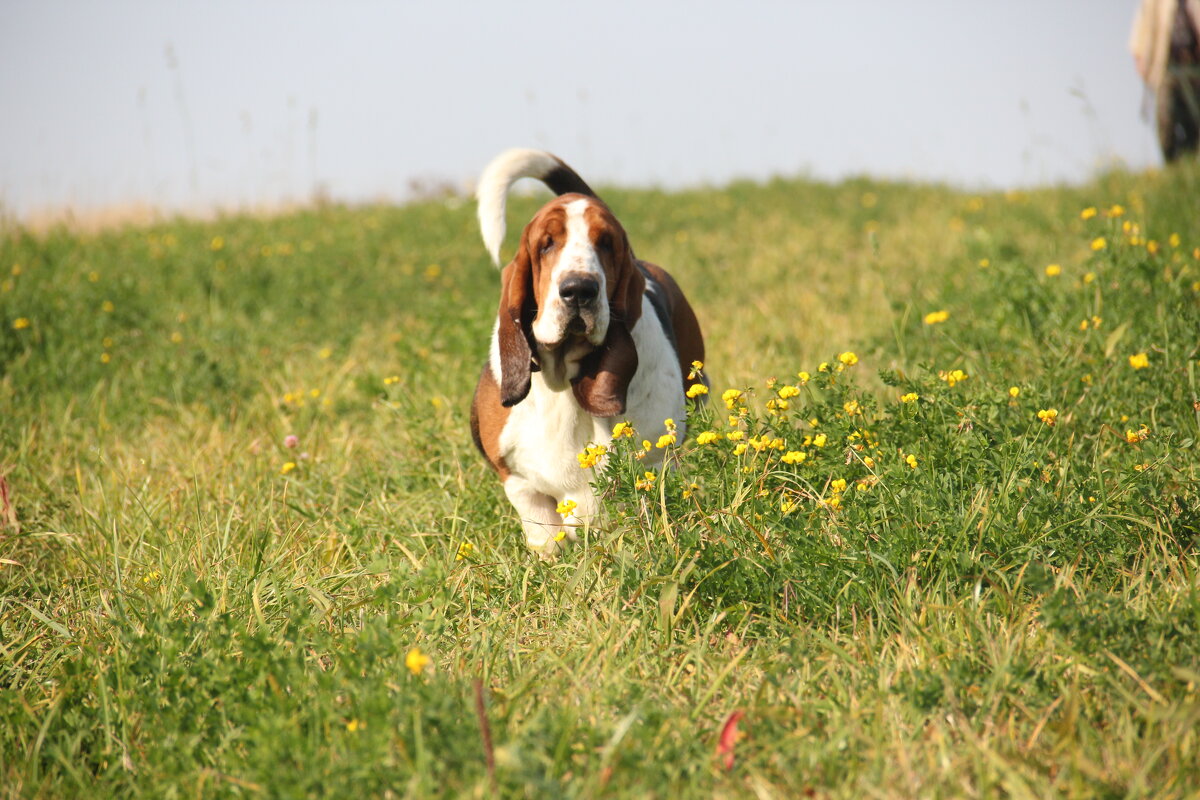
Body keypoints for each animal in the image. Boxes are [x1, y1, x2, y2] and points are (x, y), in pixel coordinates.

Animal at [470, 146, 700, 554]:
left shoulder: (655, 466)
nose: (579, 289)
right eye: (546, 244)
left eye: (606, 243)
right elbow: (545, 536)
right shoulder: (520, 483)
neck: (563, 376)